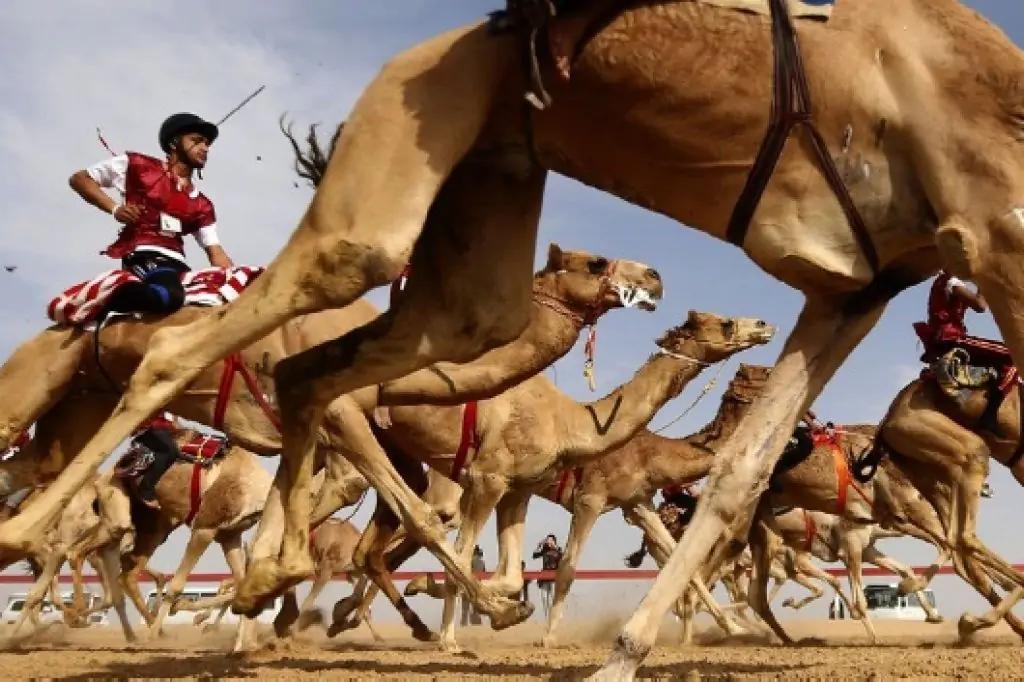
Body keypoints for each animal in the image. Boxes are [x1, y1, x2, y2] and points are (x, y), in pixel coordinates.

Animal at [8, 5, 1024, 675]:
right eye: (599, 257)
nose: (662, 283)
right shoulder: (992, 234)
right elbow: (547, 557)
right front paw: (501, 619)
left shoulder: (853, 289)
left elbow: (733, 483)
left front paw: (621, 648)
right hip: (388, 178)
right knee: (214, 373)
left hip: (477, 244)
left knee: (306, 388)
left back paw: (262, 588)